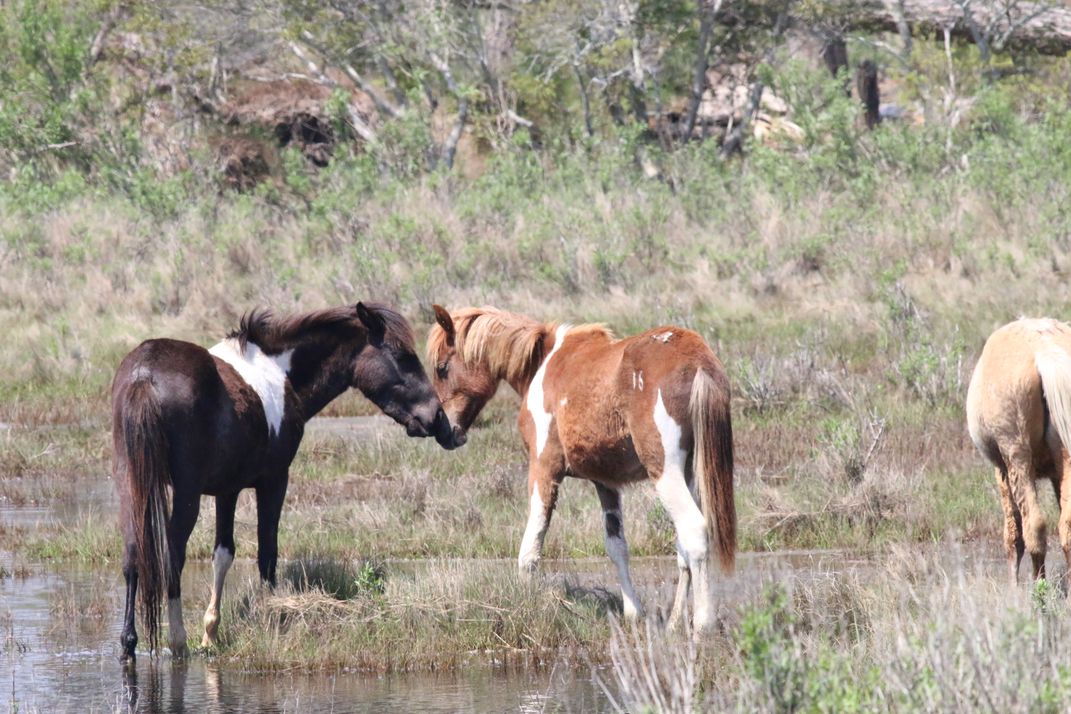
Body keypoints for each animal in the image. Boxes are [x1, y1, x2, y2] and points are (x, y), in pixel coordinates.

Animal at [112, 301, 464, 663]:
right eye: (401, 355)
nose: (438, 420)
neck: (281, 372)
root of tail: (144, 376)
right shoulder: (274, 480)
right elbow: (267, 552)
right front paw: (272, 615)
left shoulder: (227, 490)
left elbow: (223, 553)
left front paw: (211, 632)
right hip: (186, 493)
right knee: (172, 555)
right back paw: (178, 639)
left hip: (131, 486)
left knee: (132, 556)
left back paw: (129, 643)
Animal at [426, 304, 736, 633]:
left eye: (443, 368)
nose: (443, 432)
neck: (541, 364)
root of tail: (697, 359)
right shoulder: (606, 483)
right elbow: (616, 547)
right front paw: (633, 612)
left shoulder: (543, 469)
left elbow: (530, 548)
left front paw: (525, 607)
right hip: (689, 474)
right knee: (683, 549)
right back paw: (676, 622)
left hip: (665, 473)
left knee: (695, 532)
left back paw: (703, 625)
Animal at [968, 318, 1071, 586]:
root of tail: (1044, 353)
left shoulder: (1001, 469)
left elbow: (1013, 534)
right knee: (1066, 526)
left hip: (1017, 455)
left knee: (1033, 525)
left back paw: (1037, 590)